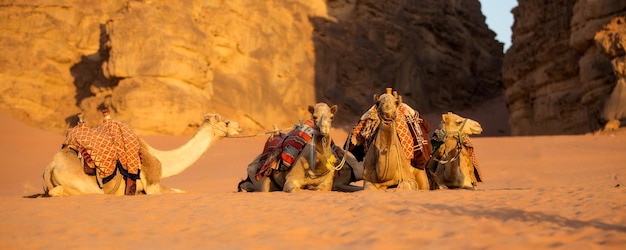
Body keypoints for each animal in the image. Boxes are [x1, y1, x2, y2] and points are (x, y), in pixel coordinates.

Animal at [41, 114, 240, 197]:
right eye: (226, 122)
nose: (239, 127)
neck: (162, 160)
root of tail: (51, 167)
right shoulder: (153, 185)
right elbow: (182, 191)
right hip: (86, 185)